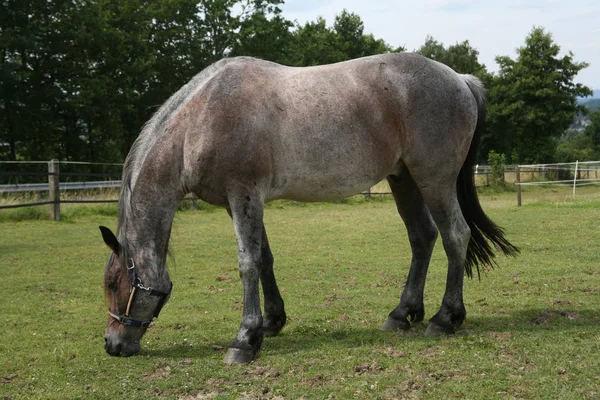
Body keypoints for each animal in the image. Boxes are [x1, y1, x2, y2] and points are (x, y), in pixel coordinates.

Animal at [101, 51, 516, 364]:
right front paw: (270, 322)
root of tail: (460, 78)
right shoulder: (243, 204)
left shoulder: (244, 195)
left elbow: (247, 264)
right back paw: (402, 314)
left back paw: (445, 318)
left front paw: (244, 339)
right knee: (423, 237)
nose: (112, 344)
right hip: (404, 179)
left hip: (434, 180)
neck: (202, 120)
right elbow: (264, 260)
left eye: (111, 283)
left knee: (455, 236)